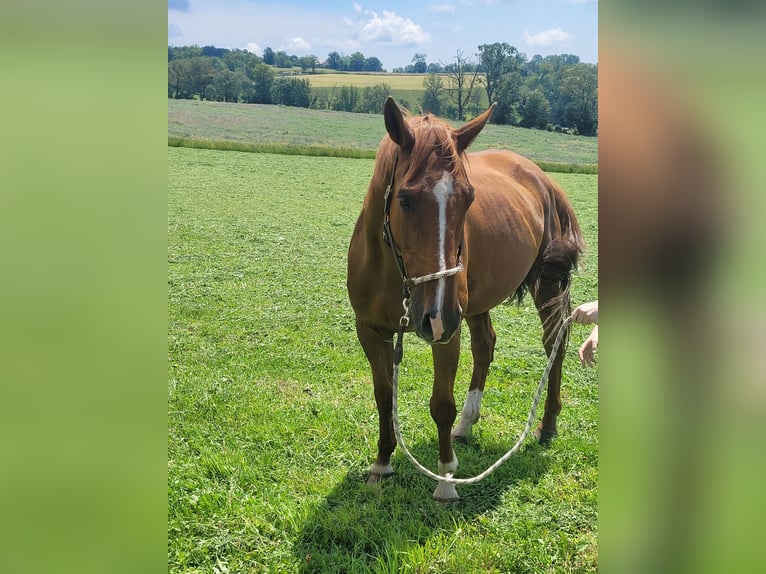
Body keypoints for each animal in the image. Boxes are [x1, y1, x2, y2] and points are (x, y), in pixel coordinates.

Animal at [344, 99, 584, 504]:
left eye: (469, 198)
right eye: (405, 199)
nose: (437, 313)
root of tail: (543, 178)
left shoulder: (446, 334)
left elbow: (441, 405)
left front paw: (445, 480)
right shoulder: (372, 331)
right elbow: (383, 397)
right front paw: (382, 464)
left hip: (546, 286)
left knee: (555, 344)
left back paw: (548, 423)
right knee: (485, 345)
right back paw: (466, 425)